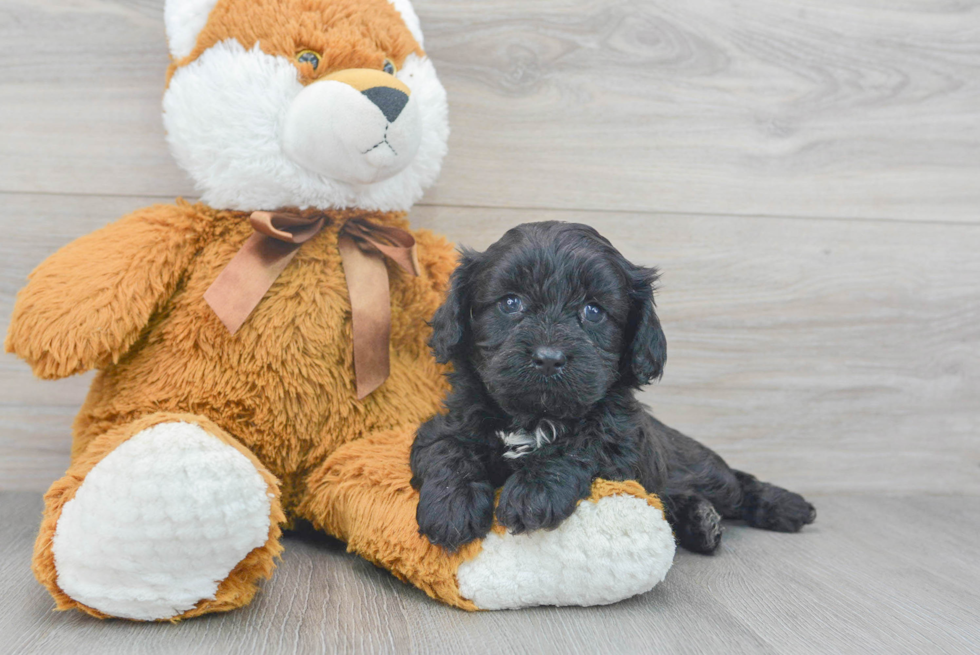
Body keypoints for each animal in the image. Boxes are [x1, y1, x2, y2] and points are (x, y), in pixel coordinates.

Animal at [410, 224, 816, 552]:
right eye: (511, 303)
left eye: (593, 311)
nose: (548, 358)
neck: (535, 417)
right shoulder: (449, 422)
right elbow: (445, 448)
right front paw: (451, 506)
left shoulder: (623, 442)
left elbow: (583, 443)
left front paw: (534, 491)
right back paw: (701, 522)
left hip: (700, 469)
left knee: (736, 484)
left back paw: (787, 506)